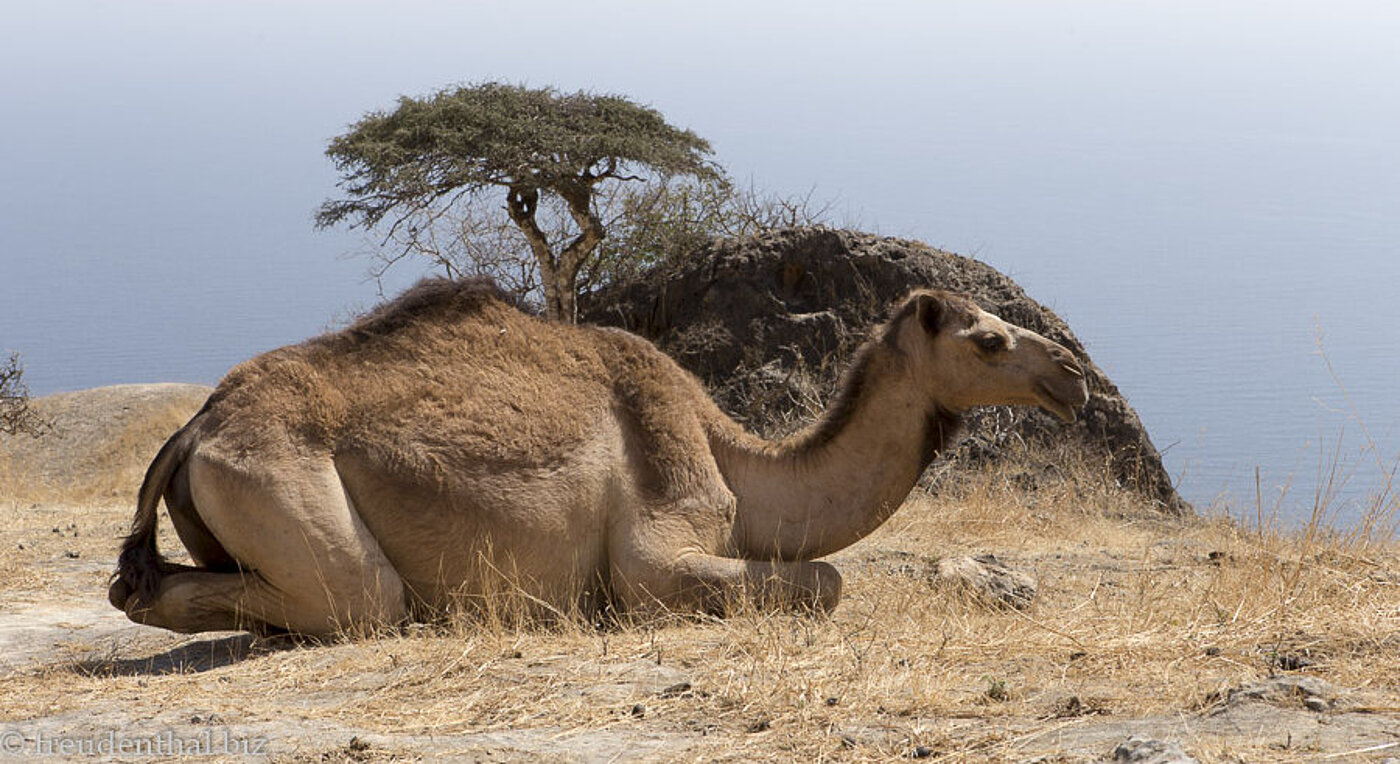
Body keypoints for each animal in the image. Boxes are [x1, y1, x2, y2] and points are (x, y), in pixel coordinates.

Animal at [112, 277, 1092, 632]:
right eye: (989, 340)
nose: (1073, 377)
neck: (737, 459)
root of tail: (197, 428)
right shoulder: (657, 552)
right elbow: (825, 579)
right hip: (279, 482)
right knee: (355, 600)